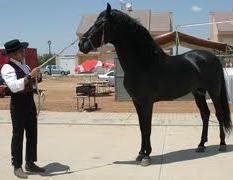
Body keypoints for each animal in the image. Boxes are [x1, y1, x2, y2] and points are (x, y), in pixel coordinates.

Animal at [78, 3, 231, 166]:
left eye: (99, 23)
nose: (82, 44)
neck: (144, 63)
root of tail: (213, 57)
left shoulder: (146, 102)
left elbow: (147, 128)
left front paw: (146, 156)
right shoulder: (137, 102)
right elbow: (141, 127)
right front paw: (140, 154)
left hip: (214, 91)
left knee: (219, 114)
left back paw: (222, 145)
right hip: (199, 92)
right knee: (205, 115)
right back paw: (201, 145)